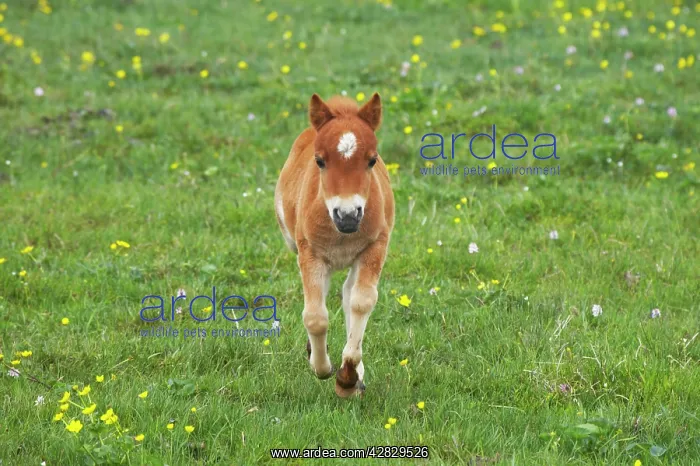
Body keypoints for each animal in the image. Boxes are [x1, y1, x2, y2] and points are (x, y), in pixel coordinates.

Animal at [274, 93, 395, 397]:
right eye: (319, 161)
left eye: (372, 160)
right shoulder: (310, 253)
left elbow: (362, 302)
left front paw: (348, 378)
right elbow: (315, 316)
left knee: (349, 292)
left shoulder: (375, 247)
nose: (348, 215)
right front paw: (322, 367)